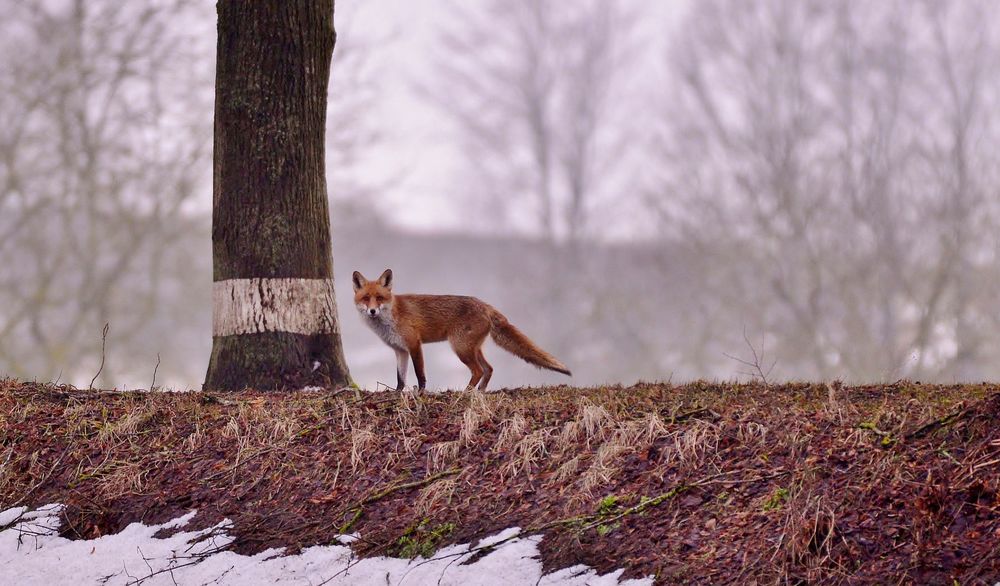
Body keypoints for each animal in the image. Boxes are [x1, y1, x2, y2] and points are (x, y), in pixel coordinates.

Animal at [352, 269, 571, 391]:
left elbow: (419, 373)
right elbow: (400, 378)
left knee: (478, 370)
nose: (372, 311)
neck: (391, 317)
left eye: (379, 298)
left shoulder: (414, 344)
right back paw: (479, 392)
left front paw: (421, 393)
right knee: (488, 369)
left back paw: (466, 392)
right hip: (472, 348)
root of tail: (485, 304)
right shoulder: (400, 350)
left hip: (460, 348)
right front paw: (397, 394)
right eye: (366, 298)